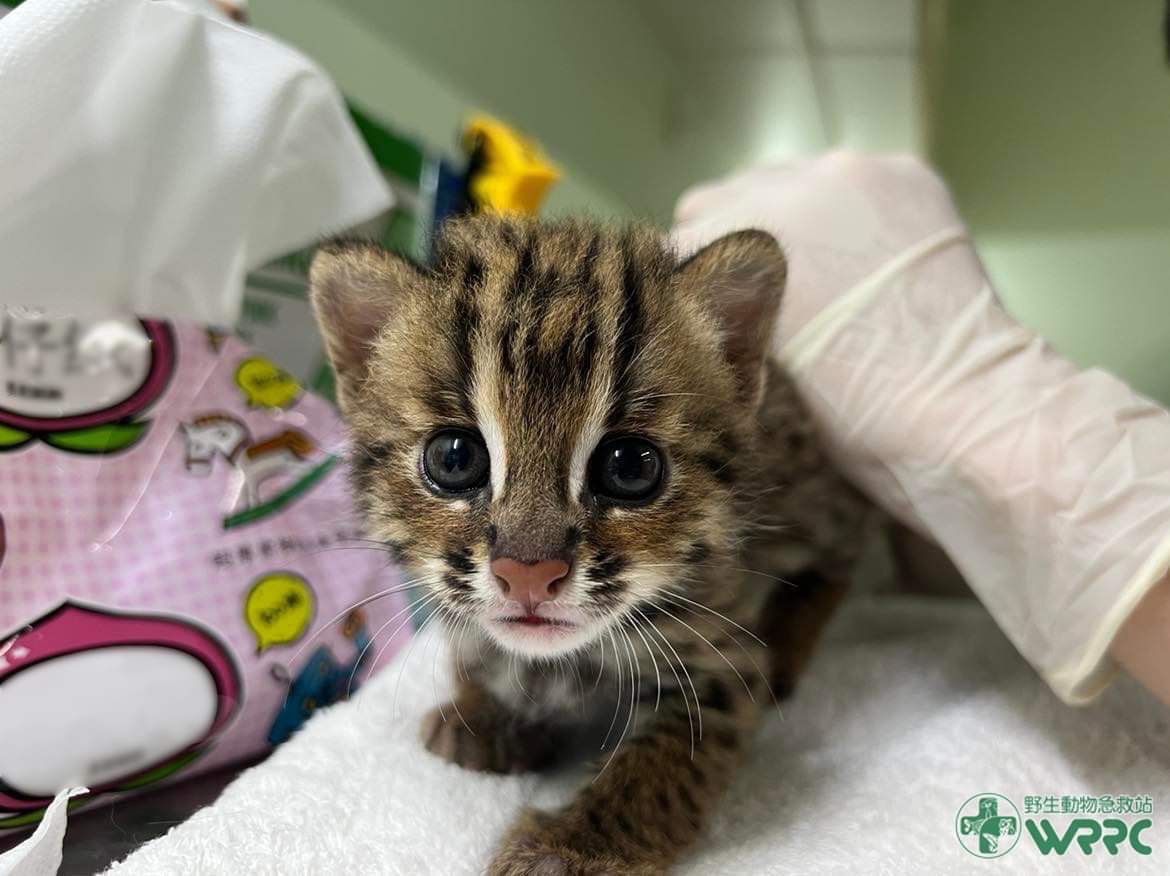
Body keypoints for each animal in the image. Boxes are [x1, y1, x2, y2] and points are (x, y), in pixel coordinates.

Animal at [311, 215, 870, 870]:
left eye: (630, 466)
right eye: (454, 459)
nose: (527, 574)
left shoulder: (721, 659)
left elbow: (660, 767)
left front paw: (570, 848)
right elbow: (469, 644)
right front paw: (483, 713)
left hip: (814, 504)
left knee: (846, 552)